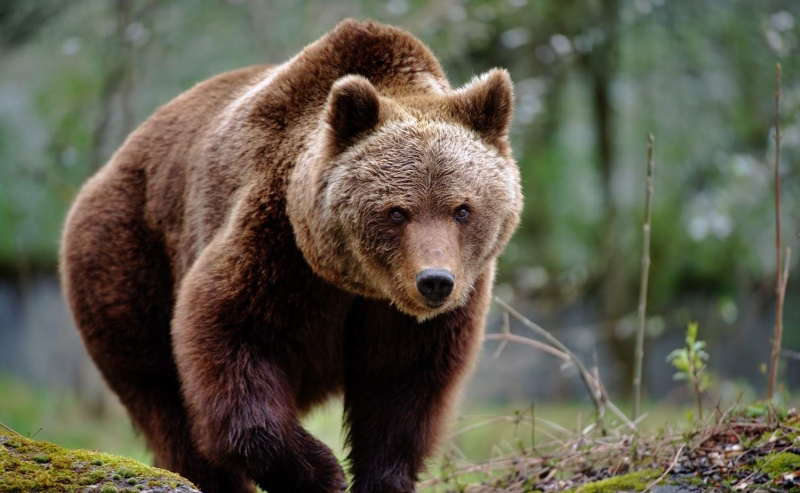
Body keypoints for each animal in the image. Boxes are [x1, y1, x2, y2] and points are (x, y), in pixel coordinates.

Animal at [60, 19, 522, 493]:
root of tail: (109, 168)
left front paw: (381, 477)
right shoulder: (276, 244)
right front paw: (320, 470)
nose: (434, 281)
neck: (355, 282)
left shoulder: (425, 311)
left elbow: (402, 387)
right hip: (129, 258)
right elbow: (231, 338)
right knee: (161, 393)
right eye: (396, 211)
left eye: (462, 209)